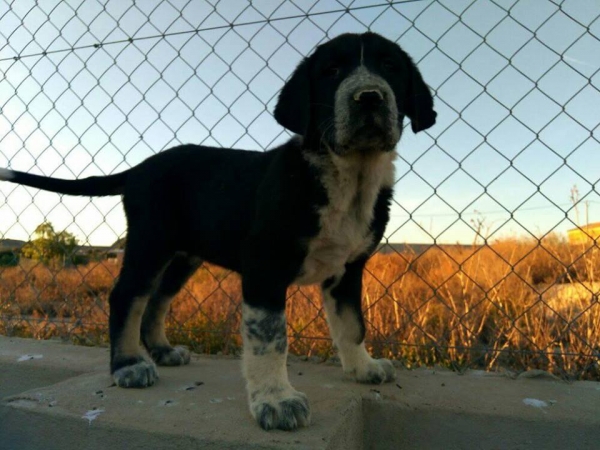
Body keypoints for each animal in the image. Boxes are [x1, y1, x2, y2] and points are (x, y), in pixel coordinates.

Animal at [0, 32, 434, 432]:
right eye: (331, 71)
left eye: (391, 67)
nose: (369, 97)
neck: (349, 175)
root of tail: (141, 168)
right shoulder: (264, 267)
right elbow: (270, 337)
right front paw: (275, 400)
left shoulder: (348, 269)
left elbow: (352, 324)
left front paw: (362, 368)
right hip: (150, 242)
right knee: (127, 296)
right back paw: (128, 365)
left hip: (183, 256)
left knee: (156, 301)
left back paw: (162, 351)